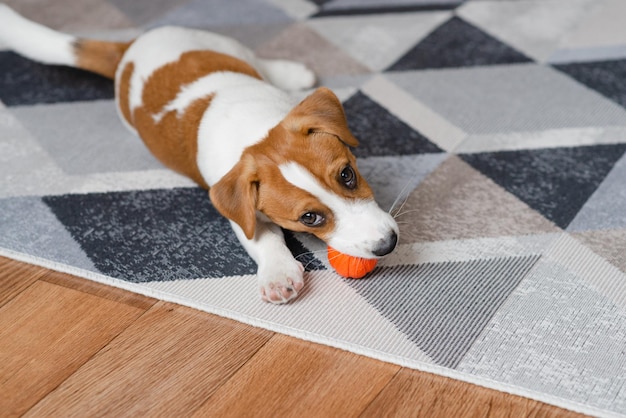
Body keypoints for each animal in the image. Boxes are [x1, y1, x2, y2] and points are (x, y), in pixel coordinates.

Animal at [0, 3, 398, 304]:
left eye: (347, 174)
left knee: (256, 58)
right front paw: (278, 272)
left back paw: (291, 71)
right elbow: (264, 239)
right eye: (310, 218)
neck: (255, 129)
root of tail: (129, 48)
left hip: (222, 43)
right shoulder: (242, 212)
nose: (388, 244)